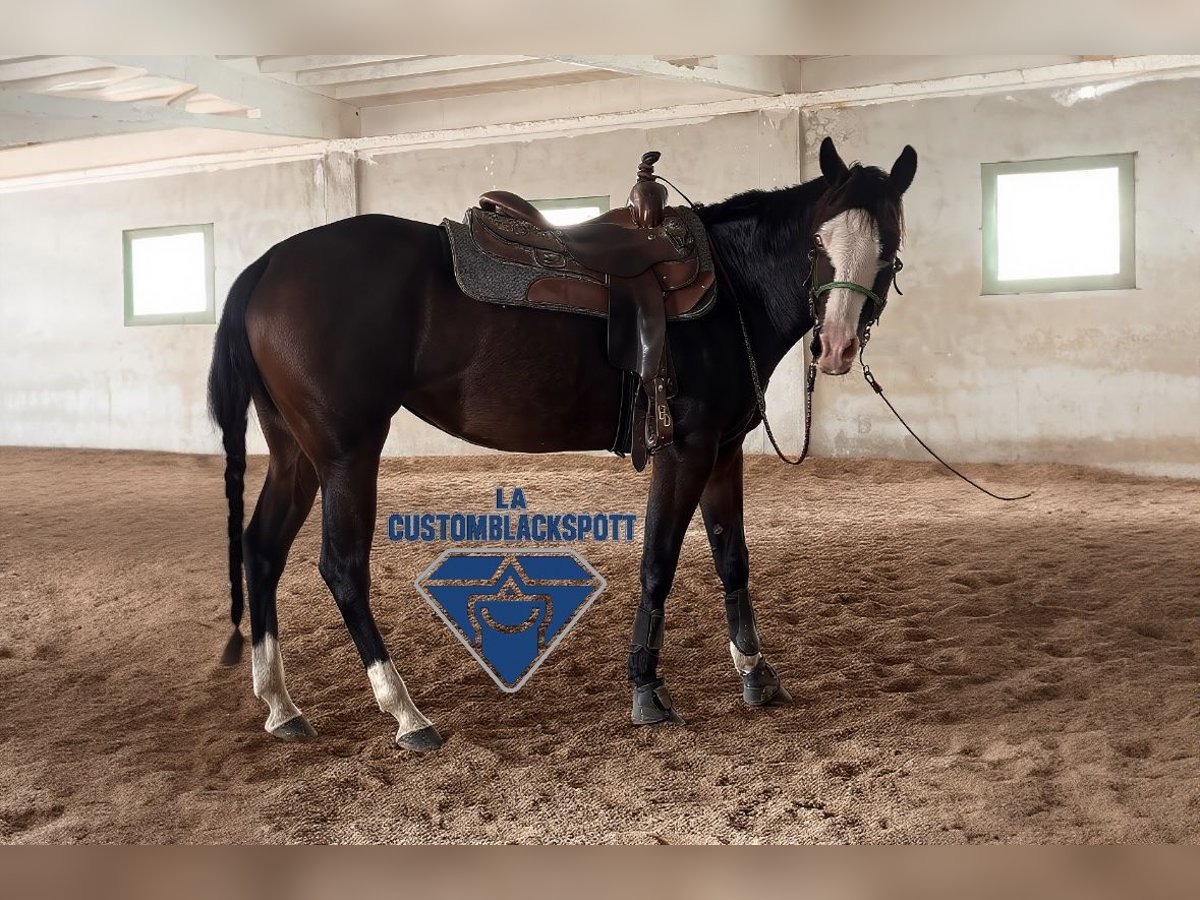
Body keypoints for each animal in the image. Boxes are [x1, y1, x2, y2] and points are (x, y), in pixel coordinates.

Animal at [207, 136, 917, 751]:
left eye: (889, 248)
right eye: (818, 242)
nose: (836, 347)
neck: (731, 291)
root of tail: (267, 266)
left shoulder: (723, 450)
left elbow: (732, 559)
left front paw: (756, 673)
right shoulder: (685, 449)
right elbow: (659, 561)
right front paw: (646, 690)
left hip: (297, 453)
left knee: (262, 549)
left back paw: (281, 705)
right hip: (347, 453)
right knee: (342, 567)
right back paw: (406, 713)